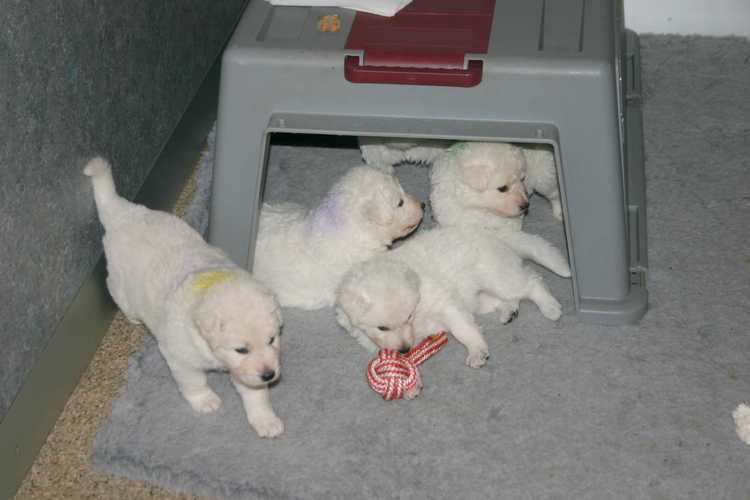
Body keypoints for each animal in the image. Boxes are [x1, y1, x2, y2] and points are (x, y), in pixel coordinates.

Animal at [85, 158, 284, 438]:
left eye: (272, 339)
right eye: (241, 349)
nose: (269, 375)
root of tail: (124, 214)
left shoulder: (245, 371)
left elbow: (254, 393)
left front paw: (266, 420)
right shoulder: (180, 357)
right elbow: (193, 381)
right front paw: (205, 400)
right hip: (120, 284)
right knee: (120, 296)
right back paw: (134, 318)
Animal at [336, 226, 565, 373]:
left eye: (408, 317)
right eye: (382, 328)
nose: (405, 350)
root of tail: (495, 235)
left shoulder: (446, 304)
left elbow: (463, 329)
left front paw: (477, 351)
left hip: (496, 275)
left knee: (531, 283)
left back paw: (550, 307)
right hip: (480, 296)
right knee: (506, 298)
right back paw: (509, 311)